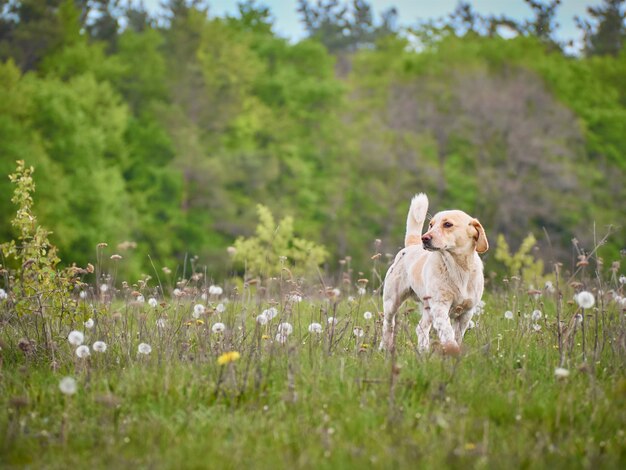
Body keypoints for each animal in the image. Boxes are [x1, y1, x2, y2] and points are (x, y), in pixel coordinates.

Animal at [376, 193, 488, 354]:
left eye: (447, 224)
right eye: (431, 225)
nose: (425, 238)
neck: (457, 268)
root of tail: (412, 245)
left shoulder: (466, 313)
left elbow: (457, 336)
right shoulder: (440, 307)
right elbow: (448, 333)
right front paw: (452, 351)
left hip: (428, 308)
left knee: (421, 328)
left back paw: (423, 351)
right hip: (392, 301)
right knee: (388, 325)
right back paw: (384, 347)